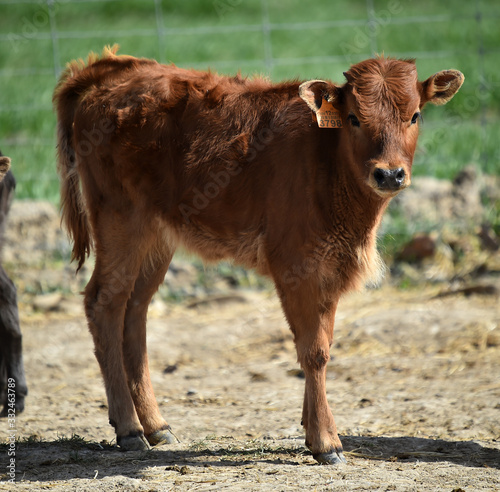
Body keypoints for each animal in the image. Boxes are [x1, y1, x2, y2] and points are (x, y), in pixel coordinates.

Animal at [52, 48, 462, 468]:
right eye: (354, 118)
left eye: (415, 115)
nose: (390, 174)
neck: (327, 161)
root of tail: (112, 68)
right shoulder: (295, 264)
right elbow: (313, 351)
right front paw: (325, 441)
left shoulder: (331, 268)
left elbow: (324, 342)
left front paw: (310, 427)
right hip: (119, 222)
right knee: (104, 303)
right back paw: (129, 429)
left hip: (156, 236)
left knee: (135, 312)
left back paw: (156, 425)